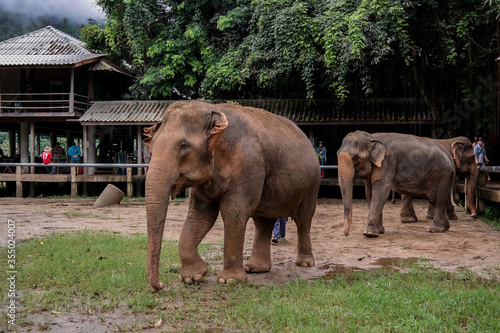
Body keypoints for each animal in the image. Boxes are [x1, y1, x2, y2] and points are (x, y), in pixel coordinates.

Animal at [144, 100, 320, 290]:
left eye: (183, 146)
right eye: (152, 145)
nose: (161, 285)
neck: (212, 109)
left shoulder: (249, 165)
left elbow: (233, 212)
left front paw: (229, 280)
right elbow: (200, 215)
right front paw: (194, 277)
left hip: (312, 185)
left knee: (304, 219)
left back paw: (304, 263)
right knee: (263, 222)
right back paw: (255, 268)